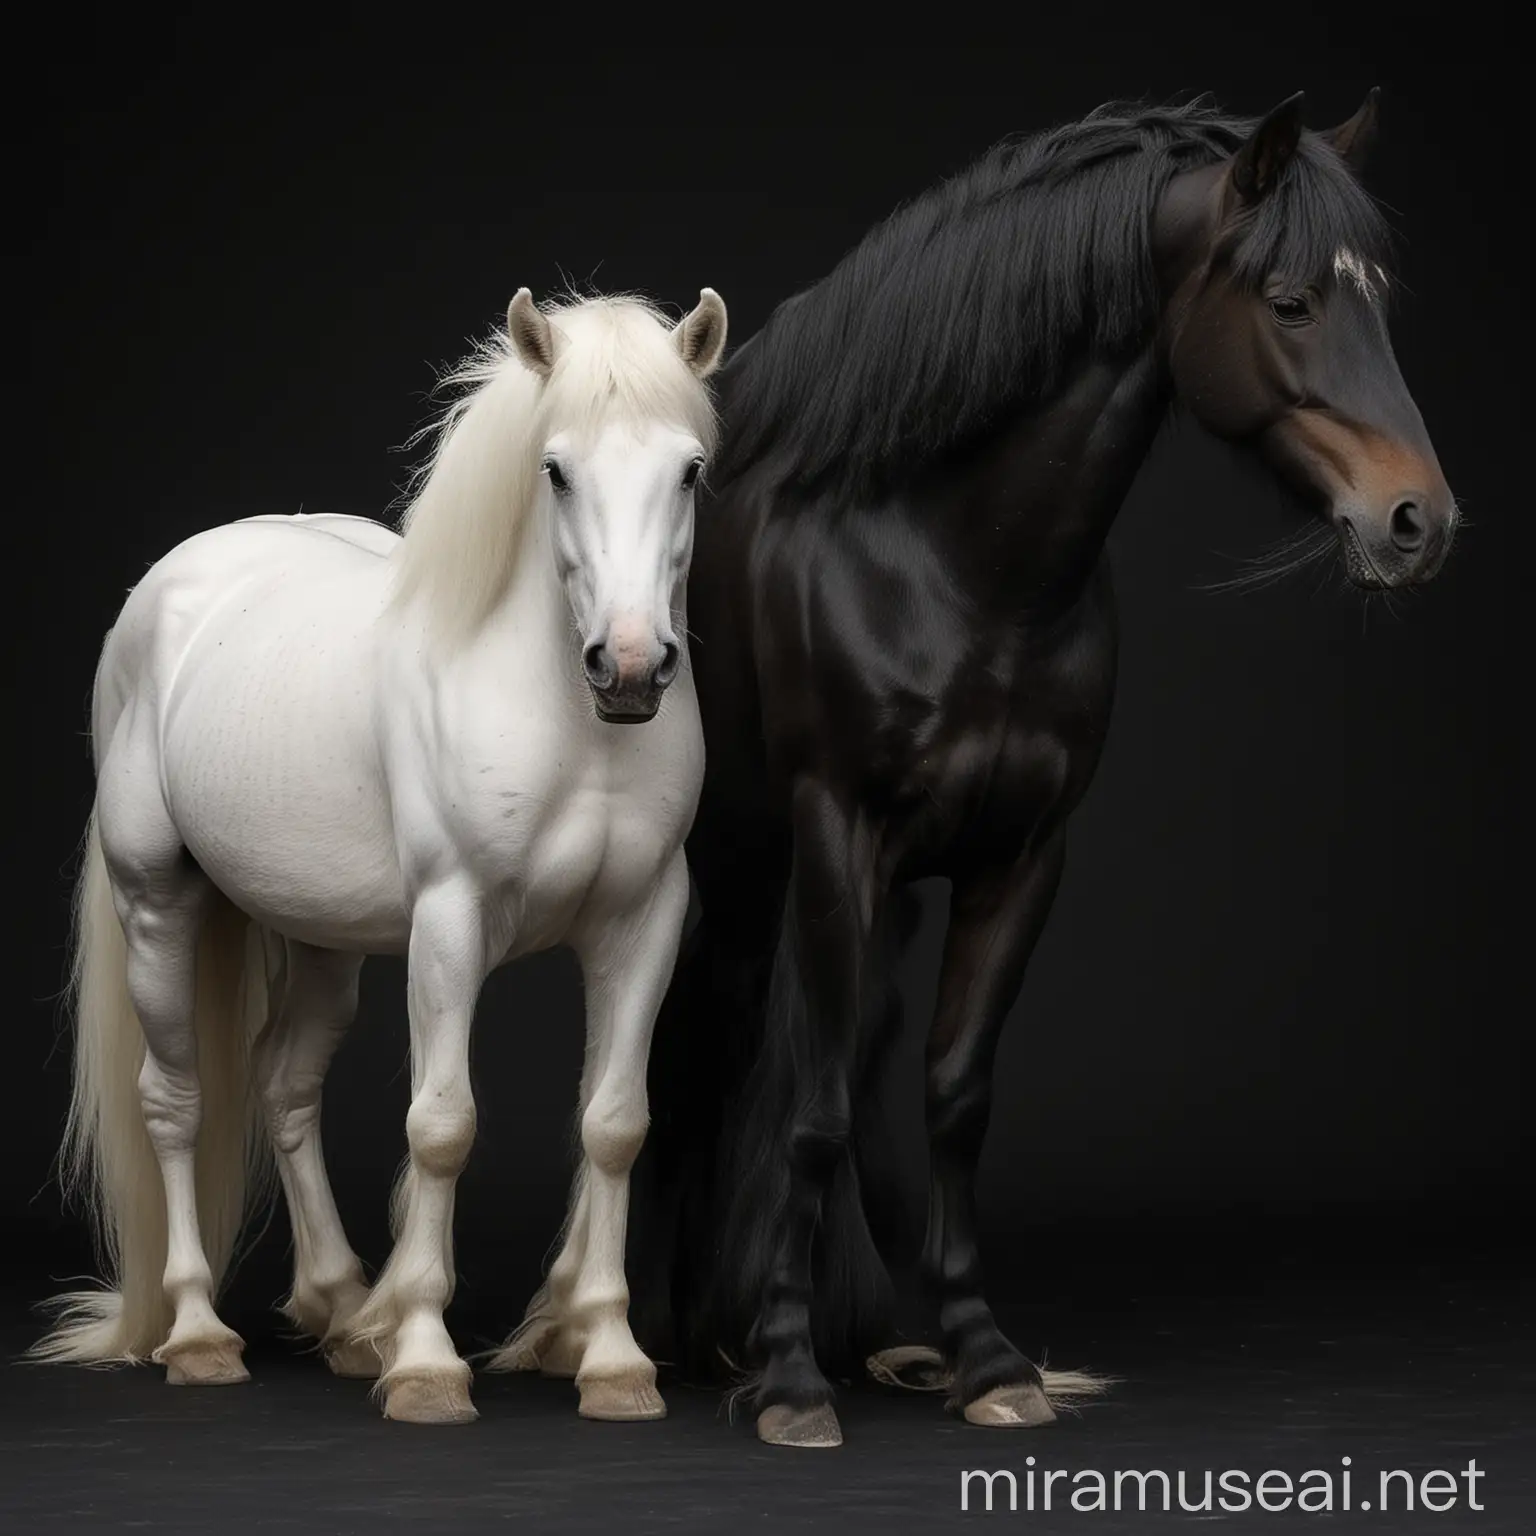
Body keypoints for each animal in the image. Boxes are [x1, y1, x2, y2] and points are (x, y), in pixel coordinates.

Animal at [36, 290, 728, 1425]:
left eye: (690, 468)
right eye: (555, 469)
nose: (629, 667)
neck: (568, 728)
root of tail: (172, 588)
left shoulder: (642, 922)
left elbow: (615, 1123)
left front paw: (610, 1357)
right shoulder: (451, 922)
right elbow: (441, 1126)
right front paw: (426, 1364)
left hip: (322, 936)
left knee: (284, 1086)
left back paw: (339, 1309)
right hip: (158, 907)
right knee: (174, 1102)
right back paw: (198, 1334)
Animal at [632, 89, 1449, 1443]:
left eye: (1378, 301)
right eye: (1289, 302)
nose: (1418, 522)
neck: (950, 561)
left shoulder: (1020, 856)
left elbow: (953, 1095)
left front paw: (985, 1360)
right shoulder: (836, 834)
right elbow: (812, 1104)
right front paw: (793, 1378)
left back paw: (777, 1332)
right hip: (735, 866)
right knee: (701, 1046)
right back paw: (662, 1333)